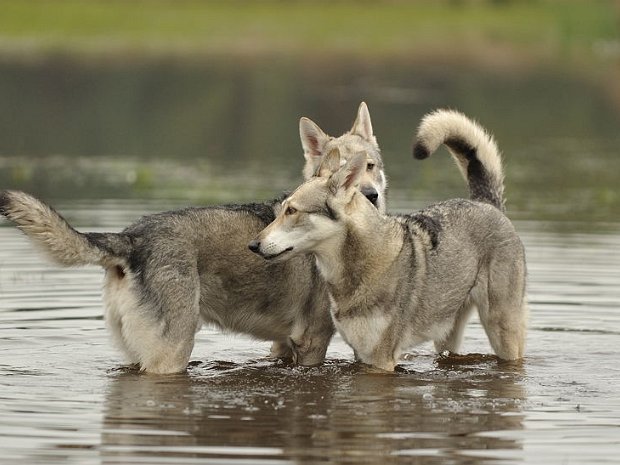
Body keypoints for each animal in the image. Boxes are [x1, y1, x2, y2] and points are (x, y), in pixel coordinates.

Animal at [1, 102, 388, 374]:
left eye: (370, 166)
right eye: (342, 176)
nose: (371, 196)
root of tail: (132, 236)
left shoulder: (284, 344)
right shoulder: (312, 341)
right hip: (172, 356)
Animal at [251, 109, 528, 370]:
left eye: (291, 211)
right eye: (282, 209)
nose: (253, 245)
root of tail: (484, 202)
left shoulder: (380, 359)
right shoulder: (360, 354)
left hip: (502, 332)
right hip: (446, 336)